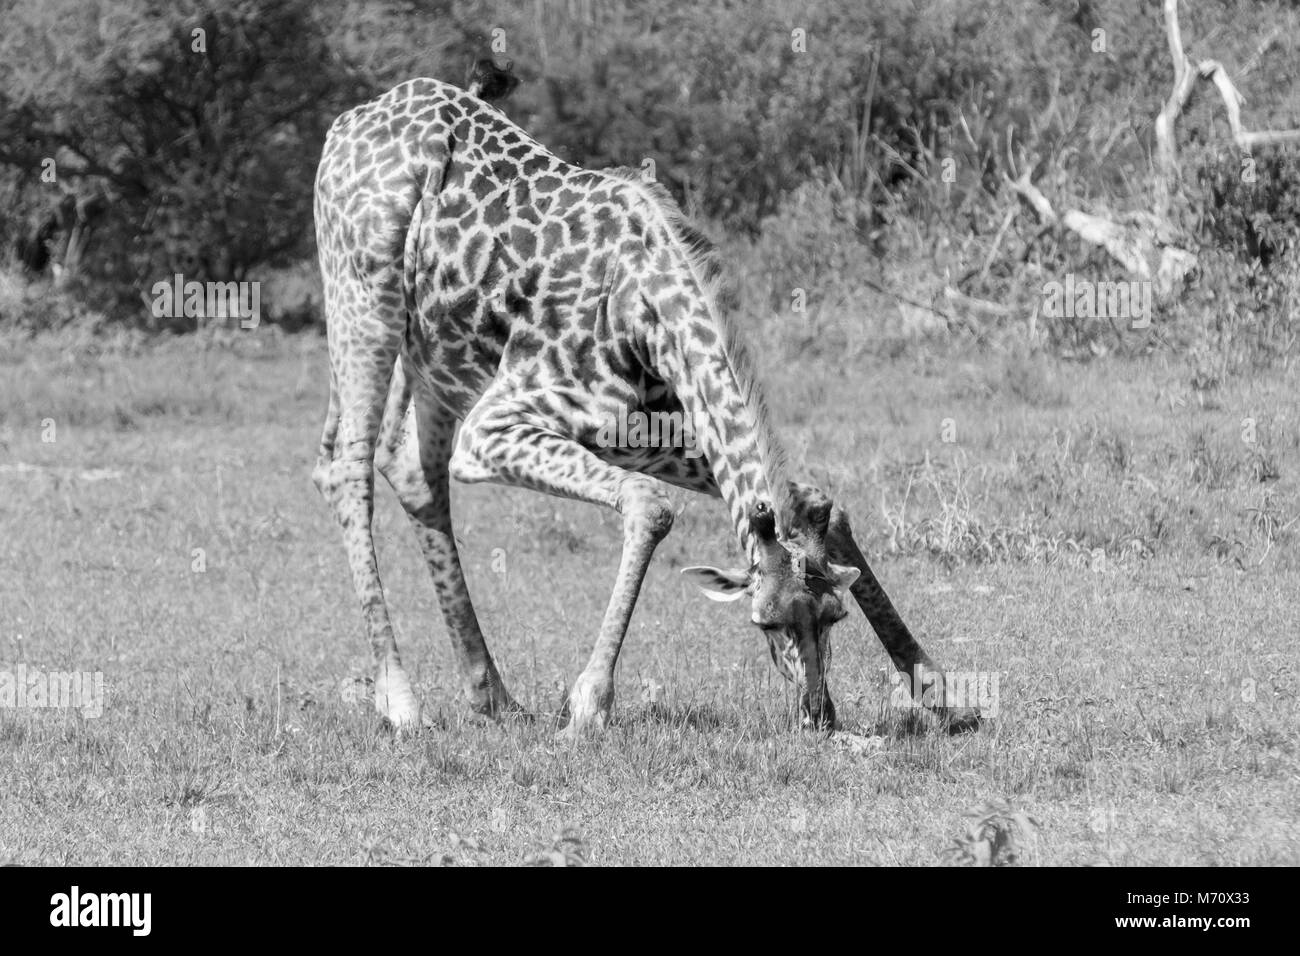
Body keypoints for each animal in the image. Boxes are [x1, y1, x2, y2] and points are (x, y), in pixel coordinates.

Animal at [312, 62, 980, 736]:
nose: (819, 715)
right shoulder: (495, 428)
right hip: (361, 299)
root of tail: (352, 119)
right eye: (765, 621)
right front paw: (589, 702)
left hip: (434, 356)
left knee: (407, 467)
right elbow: (650, 507)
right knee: (347, 466)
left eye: (833, 617)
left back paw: (493, 695)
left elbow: (818, 502)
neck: (646, 309)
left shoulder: (639, 431)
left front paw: (940, 691)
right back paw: (400, 700)